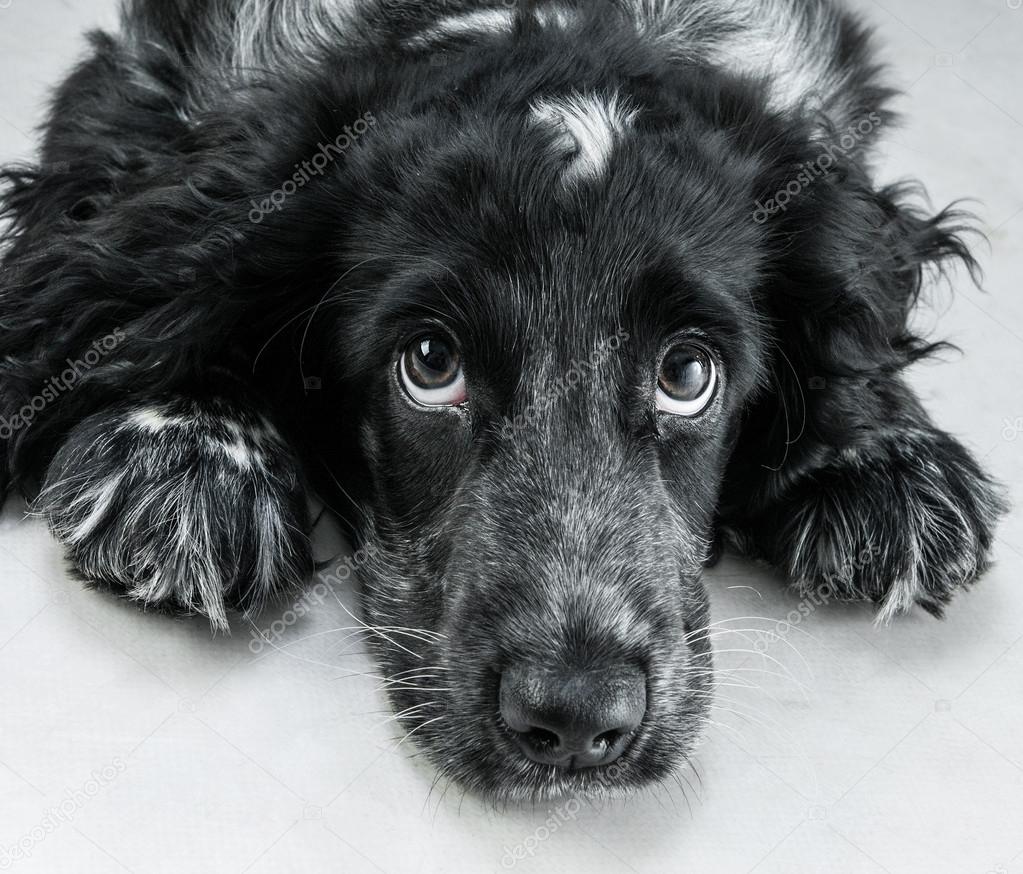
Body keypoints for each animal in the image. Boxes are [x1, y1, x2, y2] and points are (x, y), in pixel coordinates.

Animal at [0, 0, 1006, 802]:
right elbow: (174, 274)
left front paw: (878, 455)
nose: (577, 720)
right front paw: (185, 452)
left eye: (687, 375)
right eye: (429, 362)